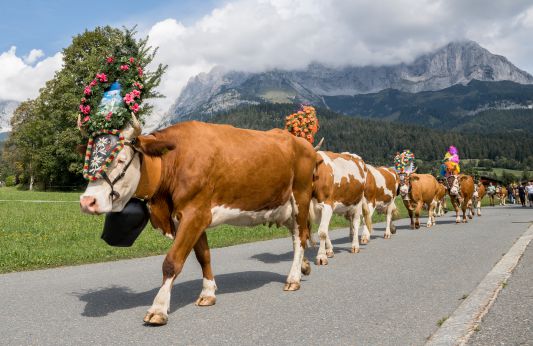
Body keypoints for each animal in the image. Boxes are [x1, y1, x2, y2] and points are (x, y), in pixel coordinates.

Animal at [79, 118, 318, 324]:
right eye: (88, 163)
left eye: (120, 159)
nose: (87, 201)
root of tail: (300, 141)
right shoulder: (192, 216)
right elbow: (203, 256)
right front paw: (208, 293)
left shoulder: (195, 213)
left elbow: (172, 261)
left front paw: (158, 308)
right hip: (284, 207)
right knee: (298, 237)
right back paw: (304, 267)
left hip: (301, 197)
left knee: (300, 238)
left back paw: (293, 278)